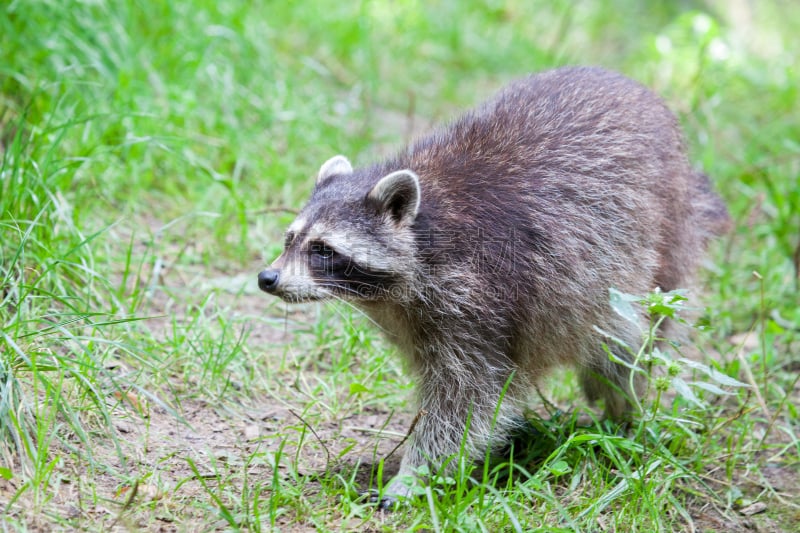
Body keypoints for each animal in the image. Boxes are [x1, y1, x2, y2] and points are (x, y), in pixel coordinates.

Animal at [256, 66, 732, 502]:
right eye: (290, 239)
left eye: (322, 250)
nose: (267, 278)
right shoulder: (418, 320)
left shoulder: (479, 302)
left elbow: (467, 399)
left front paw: (415, 474)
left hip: (658, 249)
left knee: (625, 345)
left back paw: (623, 412)